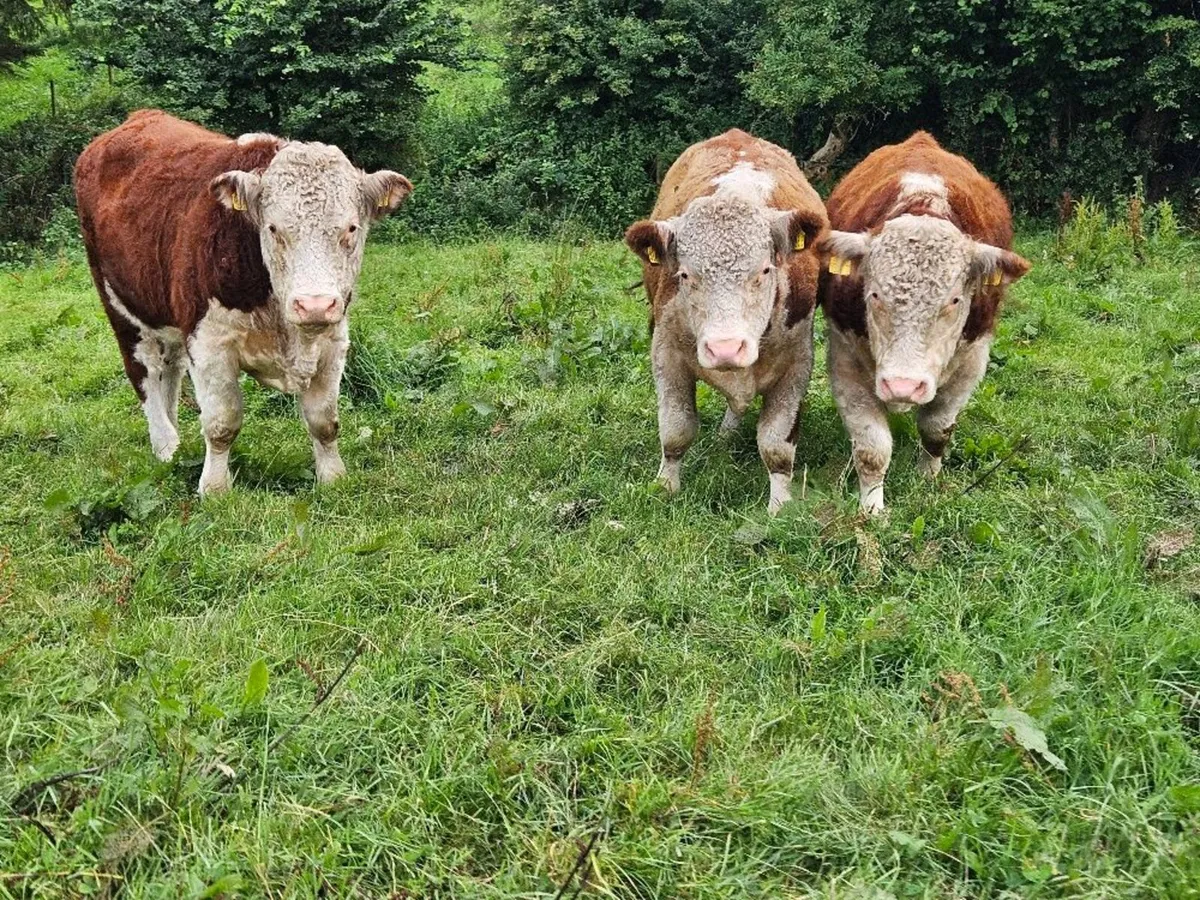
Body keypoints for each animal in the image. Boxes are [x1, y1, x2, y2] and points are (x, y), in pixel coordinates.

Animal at [75, 110, 411, 496]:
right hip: (120, 306)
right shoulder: (208, 343)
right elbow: (222, 424)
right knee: (144, 374)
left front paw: (332, 479)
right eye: (273, 228)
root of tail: (140, 116)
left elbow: (324, 421)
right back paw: (165, 447)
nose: (313, 305)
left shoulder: (333, 339)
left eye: (352, 228)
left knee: (169, 372)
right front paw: (214, 489)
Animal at [624, 130, 828, 514]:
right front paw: (666, 486)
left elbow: (777, 445)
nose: (725, 349)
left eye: (764, 270)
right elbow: (676, 429)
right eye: (685, 275)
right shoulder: (665, 353)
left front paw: (780, 507)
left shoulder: (797, 364)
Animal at [819, 132, 1031, 514]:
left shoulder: (972, 362)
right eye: (874, 295)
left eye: (954, 300)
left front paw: (927, 481)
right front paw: (872, 509)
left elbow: (936, 429)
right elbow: (872, 449)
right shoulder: (844, 360)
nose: (903, 386)